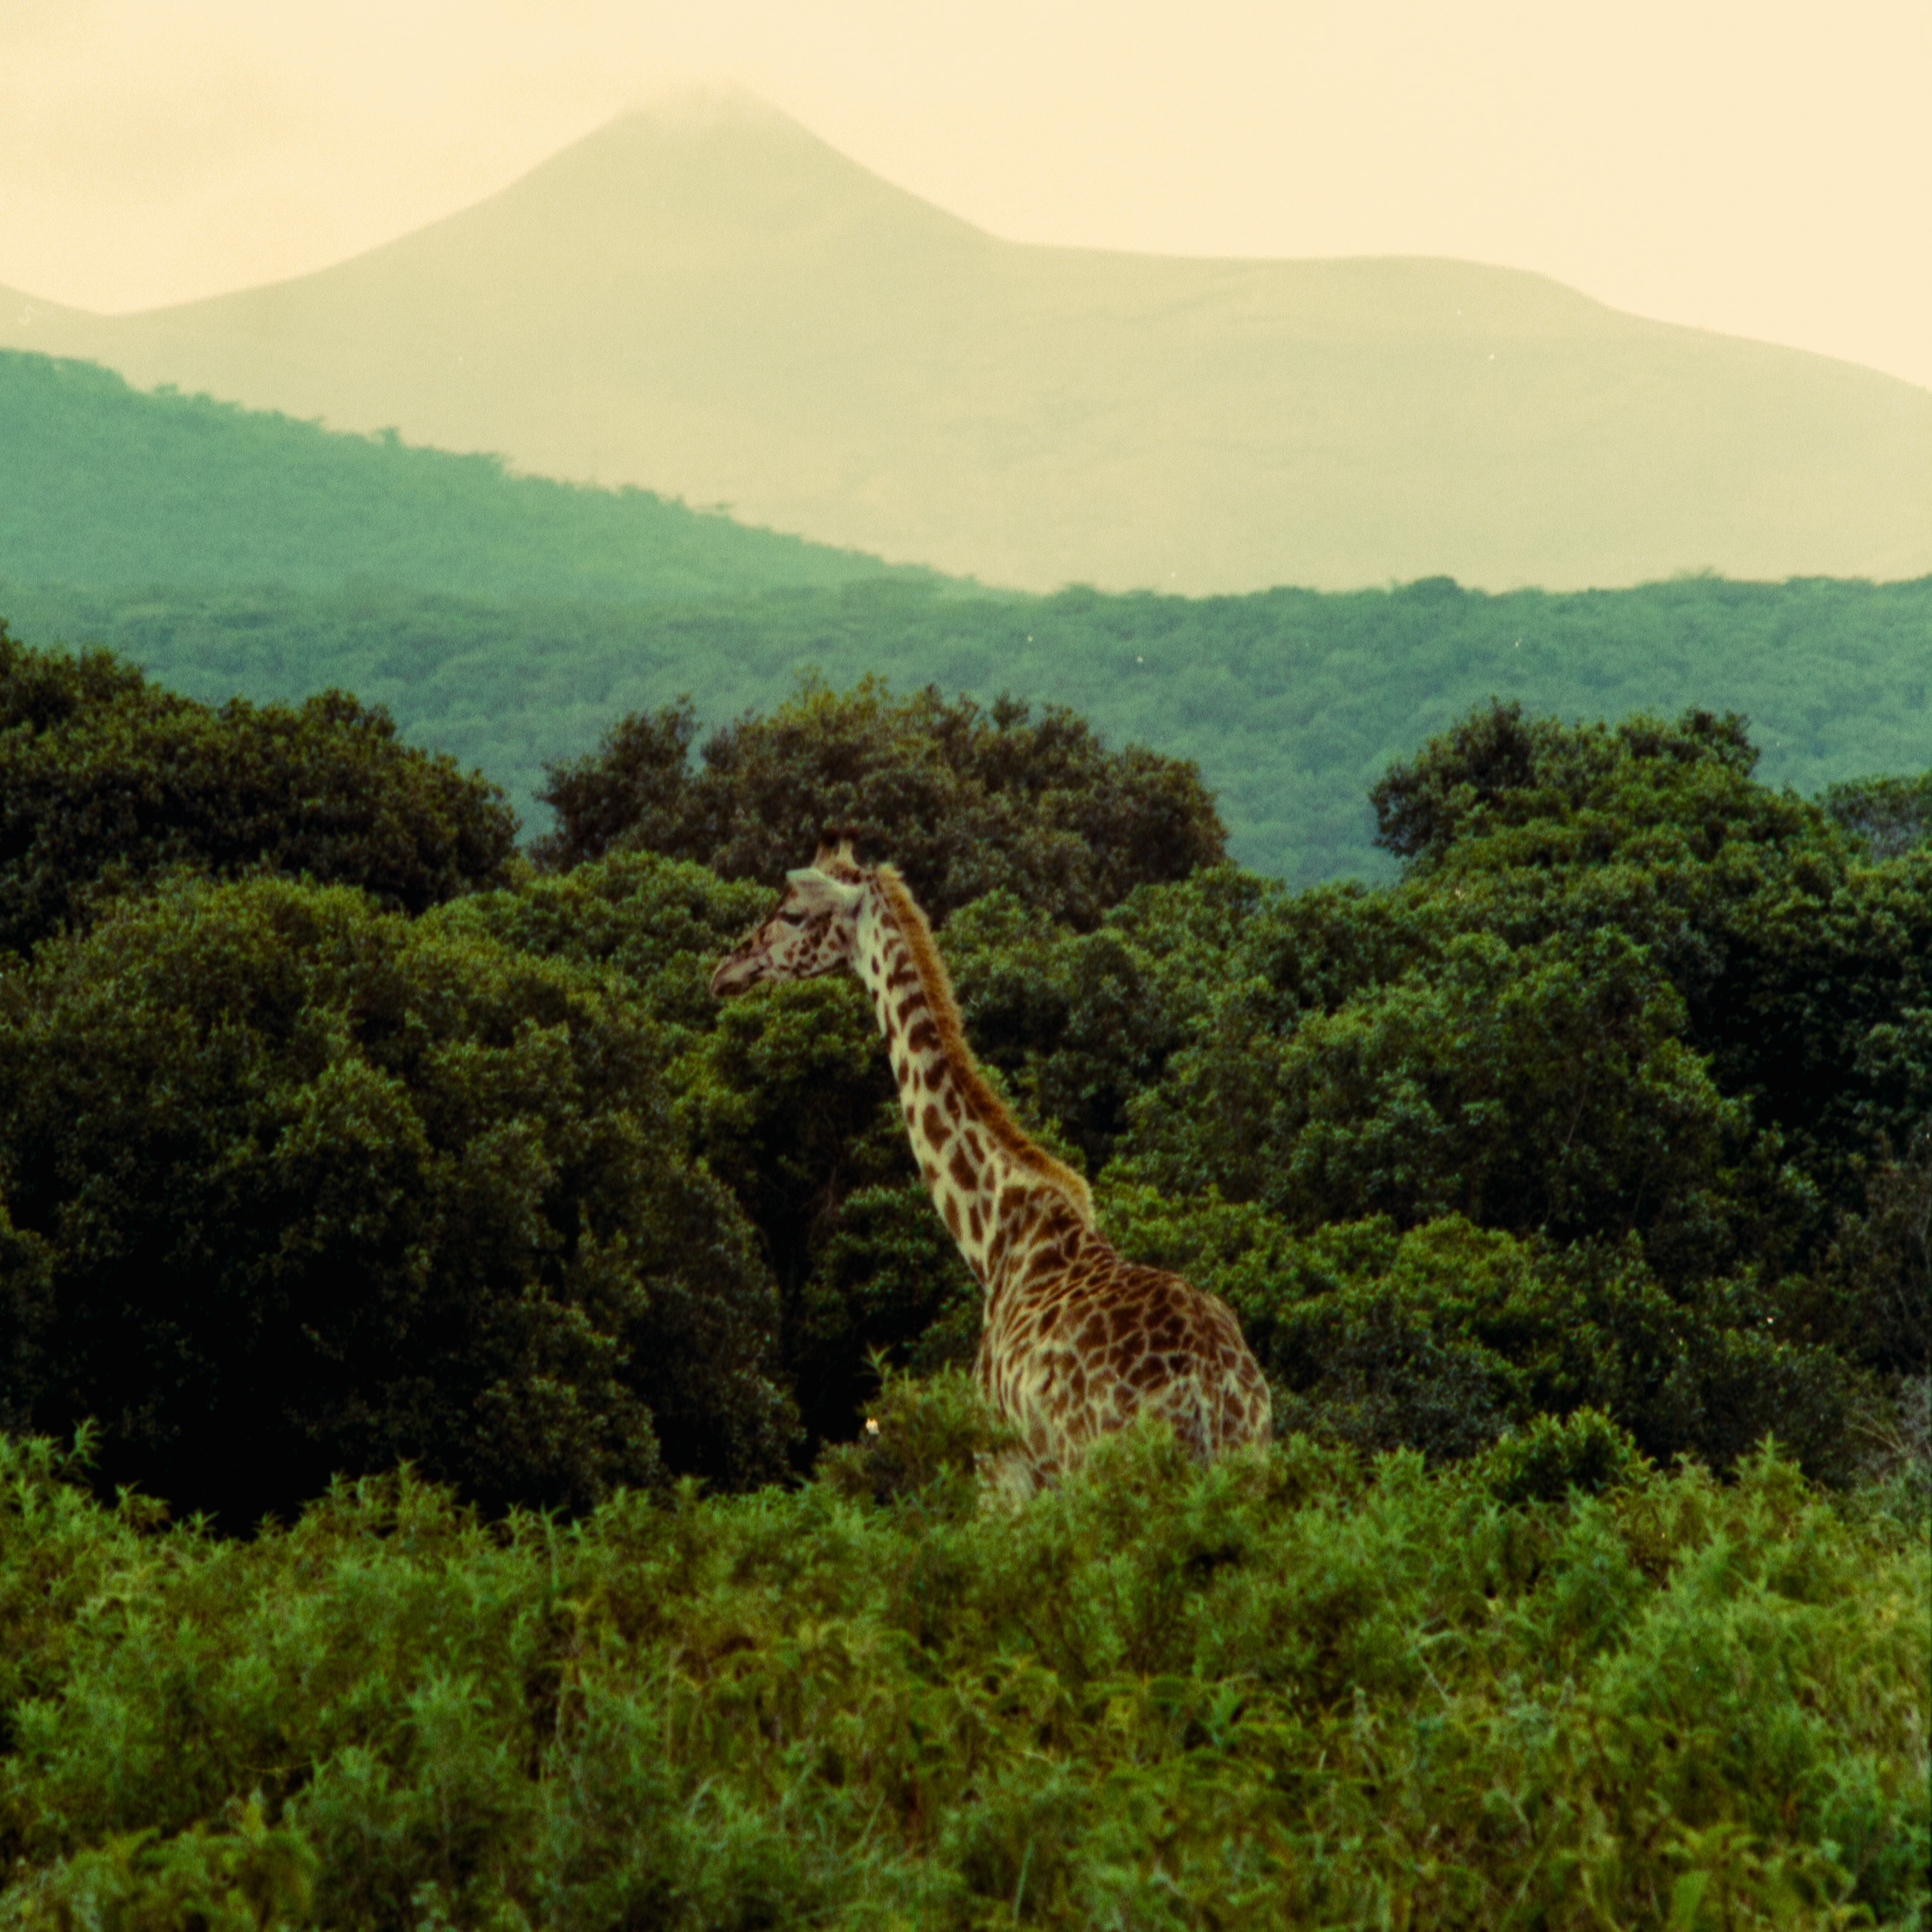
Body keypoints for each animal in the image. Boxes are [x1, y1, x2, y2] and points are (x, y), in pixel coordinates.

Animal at [710, 836, 1273, 1496]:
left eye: (795, 914)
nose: (723, 973)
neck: (990, 1236)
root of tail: (1208, 1394)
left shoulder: (1003, 1470)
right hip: (1249, 1458)